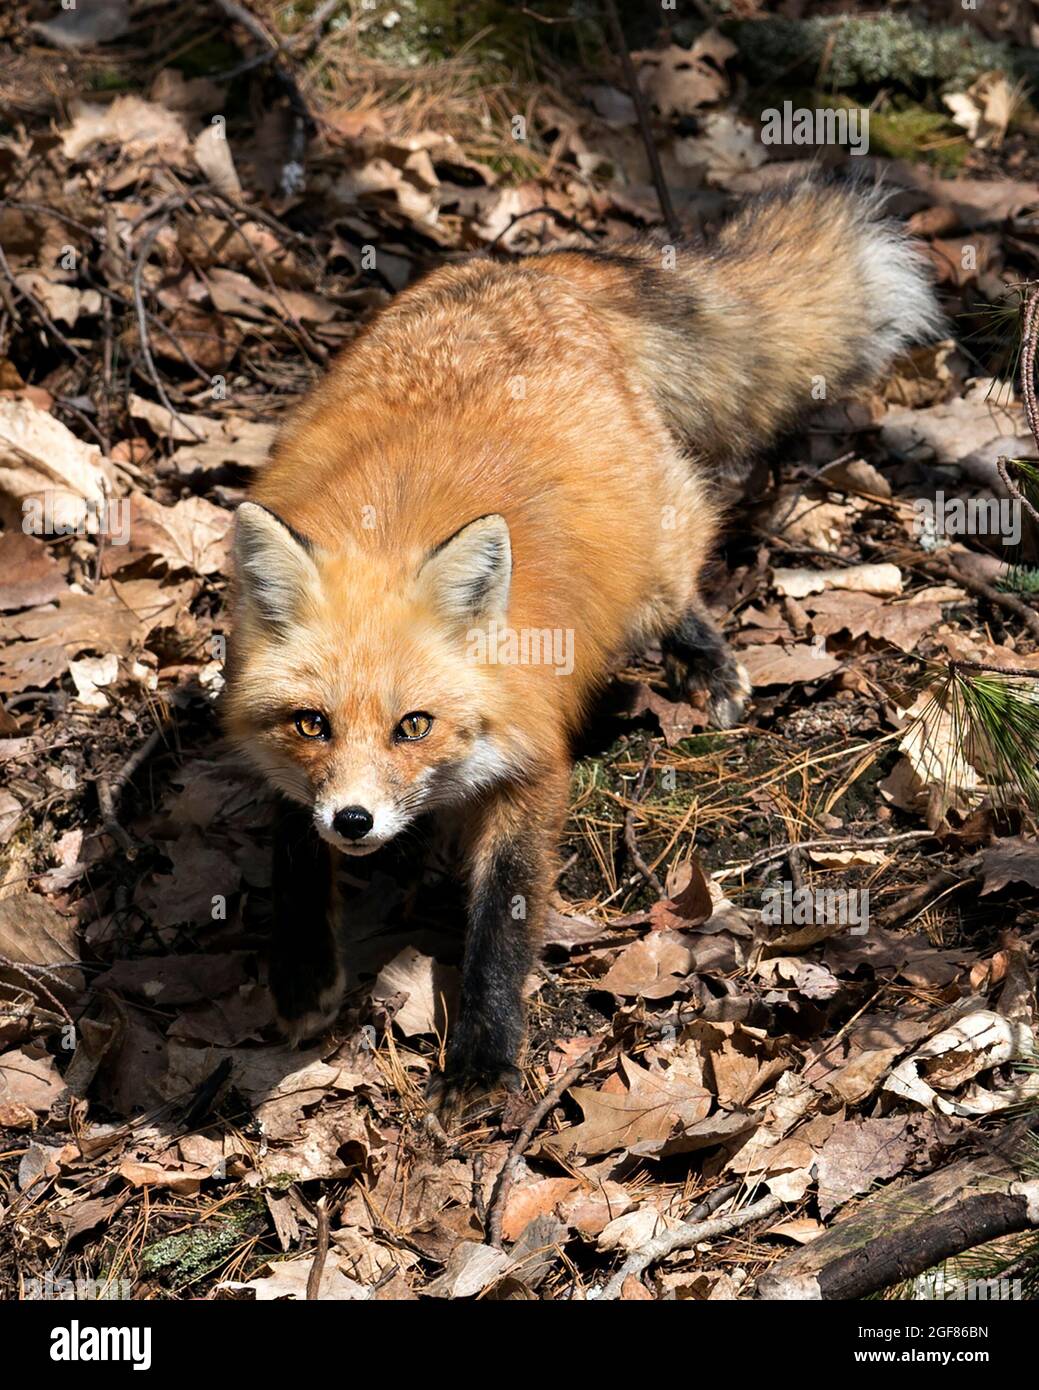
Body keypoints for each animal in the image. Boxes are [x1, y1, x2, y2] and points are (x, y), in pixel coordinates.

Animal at [228, 176, 940, 1106]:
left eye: (413, 726)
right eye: (312, 724)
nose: (354, 821)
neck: (389, 529)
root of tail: (534, 268)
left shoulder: (531, 764)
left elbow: (501, 919)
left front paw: (486, 1053)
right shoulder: (289, 772)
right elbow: (293, 858)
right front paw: (303, 971)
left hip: (654, 546)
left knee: (678, 585)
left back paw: (708, 666)